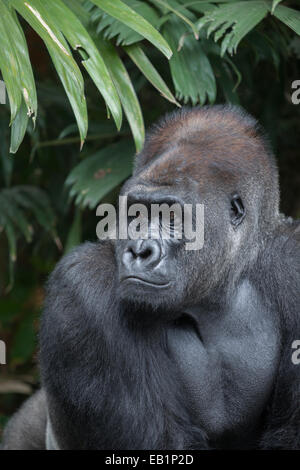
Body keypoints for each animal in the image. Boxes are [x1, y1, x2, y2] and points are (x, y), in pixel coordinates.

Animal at [1, 104, 298, 450]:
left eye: (172, 216)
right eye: (136, 214)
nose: (140, 250)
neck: (215, 291)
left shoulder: (292, 261)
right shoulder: (83, 287)